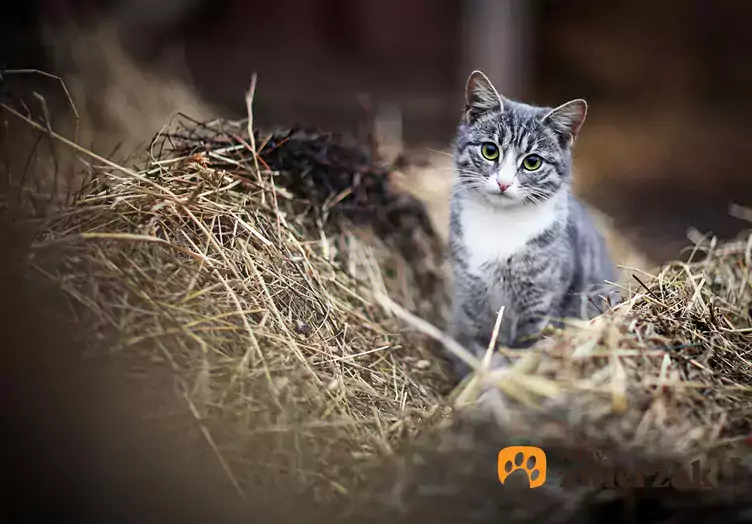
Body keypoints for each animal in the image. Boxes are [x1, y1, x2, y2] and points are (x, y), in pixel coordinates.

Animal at [446, 69, 616, 378]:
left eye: (532, 162)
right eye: (490, 151)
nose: (503, 183)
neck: (499, 222)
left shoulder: (541, 301)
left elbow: (526, 346)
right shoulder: (471, 296)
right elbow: (478, 345)